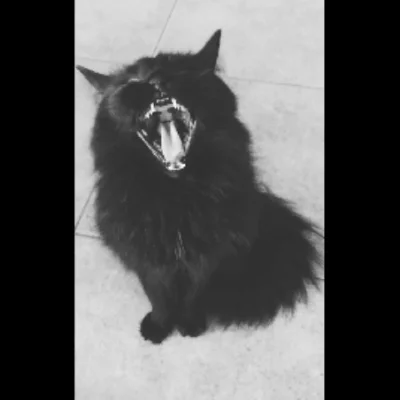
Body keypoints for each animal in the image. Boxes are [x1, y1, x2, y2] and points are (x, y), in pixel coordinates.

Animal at [76, 29, 323, 344]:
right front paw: (158, 327)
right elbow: (158, 297)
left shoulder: (206, 258)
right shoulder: (147, 257)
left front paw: (190, 325)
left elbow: (193, 295)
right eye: (131, 82)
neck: (176, 198)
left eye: (177, 69)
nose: (153, 79)